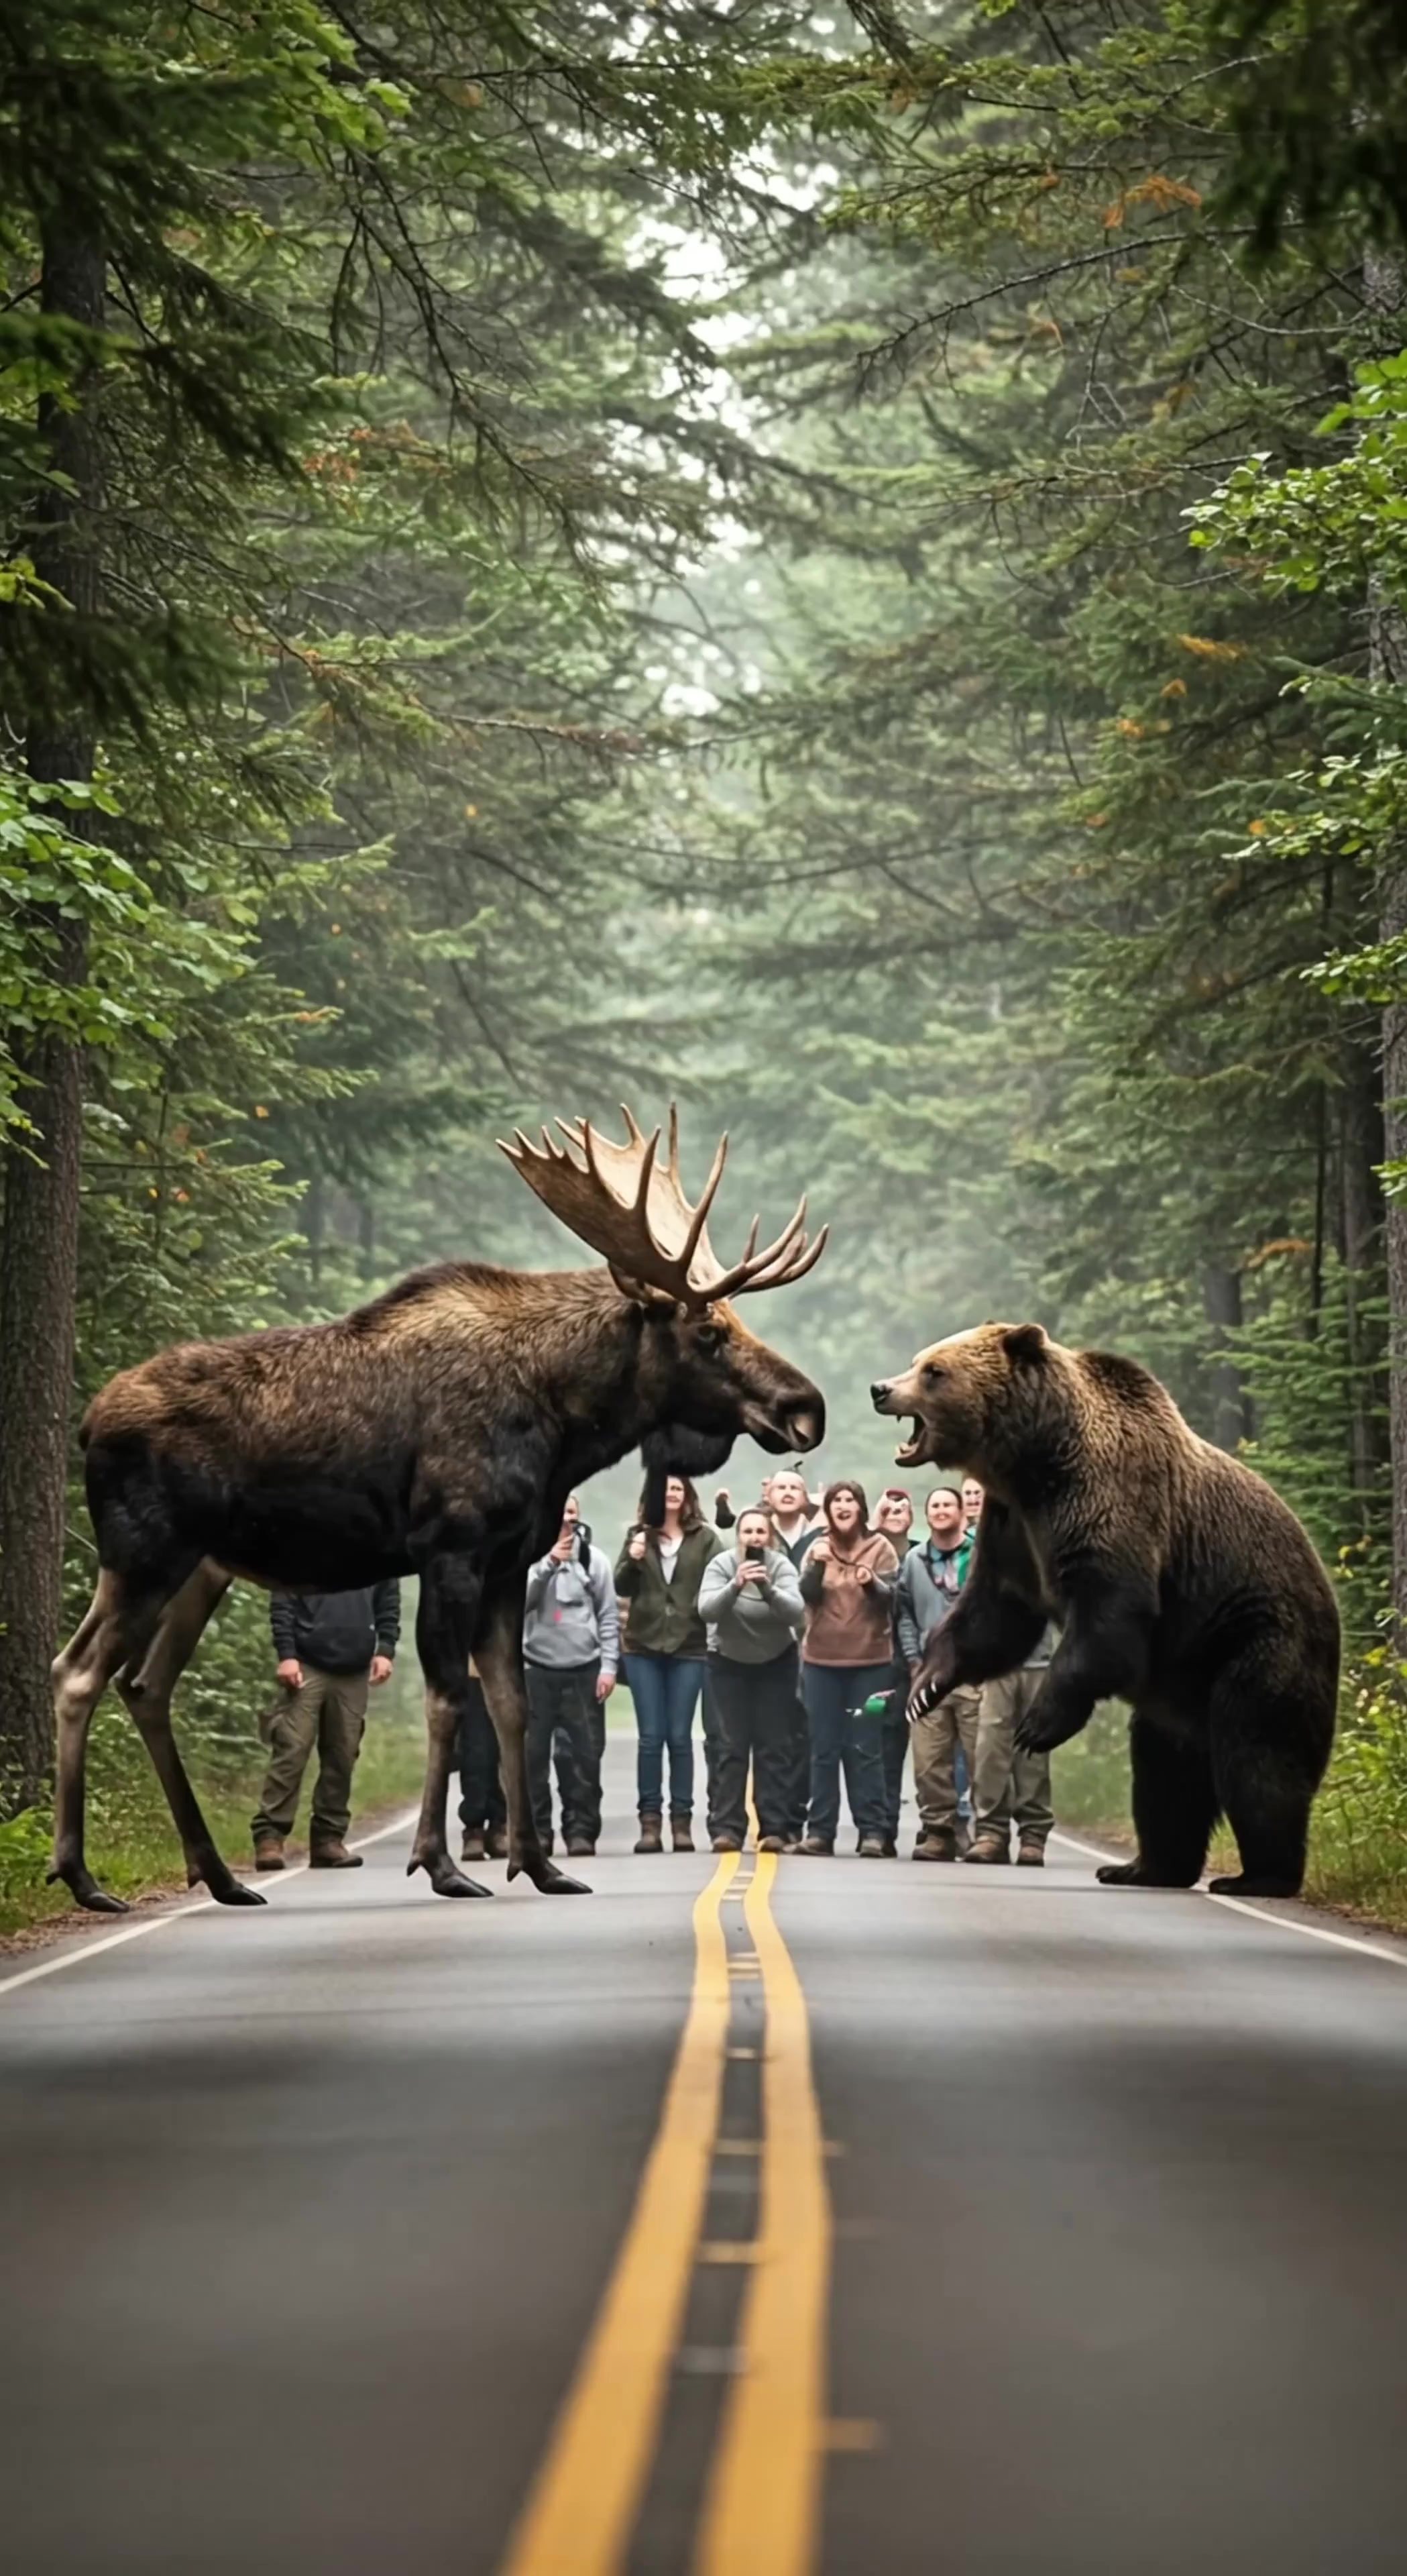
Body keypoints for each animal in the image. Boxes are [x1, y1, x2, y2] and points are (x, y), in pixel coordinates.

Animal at [48, 1107, 827, 1913]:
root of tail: (89, 1424)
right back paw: (81, 1875)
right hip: (143, 1553)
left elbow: (512, 1703)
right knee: (75, 1671)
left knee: (144, 1685)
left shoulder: (509, 1561)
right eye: (709, 1332)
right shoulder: (451, 1549)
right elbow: (450, 1699)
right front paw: (442, 1863)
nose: (806, 1407)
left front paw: (539, 1865)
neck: (567, 1422)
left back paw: (221, 1874)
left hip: (203, 1569)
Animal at [871, 1321, 1339, 1897]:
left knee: (1257, 1754)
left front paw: (1036, 1725)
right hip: (1179, 1693)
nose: (881, 1389)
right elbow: (995, 1616)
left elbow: (1106, 1622)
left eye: (934, 1371)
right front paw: (925, 1686)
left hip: (1256, 1638)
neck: (1034, 1465)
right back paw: (1144, 1867)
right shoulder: (1014, 1531)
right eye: (919, 1361)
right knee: (1166, 1774)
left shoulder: (1109, 1507)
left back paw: (1257, 1875)